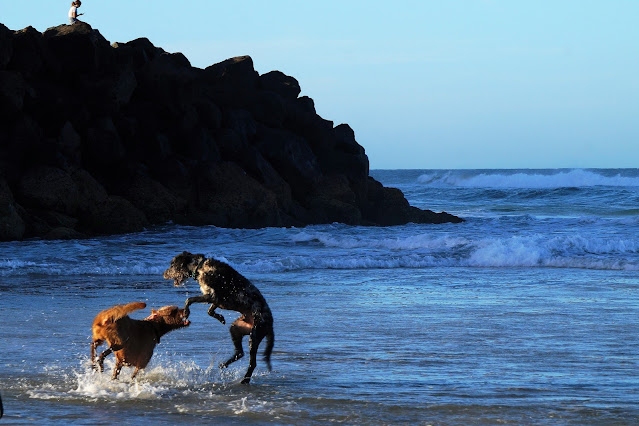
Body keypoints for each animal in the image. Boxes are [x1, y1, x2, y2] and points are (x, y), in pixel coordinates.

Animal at [164, 251, 274, 384]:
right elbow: (209, 311)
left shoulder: (212, 296)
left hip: (254, 335)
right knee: (240, 353)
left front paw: (186, 311)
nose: (164, 274)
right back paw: (224, 364)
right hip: (236, 328)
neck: (200, 266)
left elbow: (189, 299)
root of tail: (271, 325)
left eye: (172, 265)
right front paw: (220, 317)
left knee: (252, 363)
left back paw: (245, 380)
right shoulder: (216, 300)